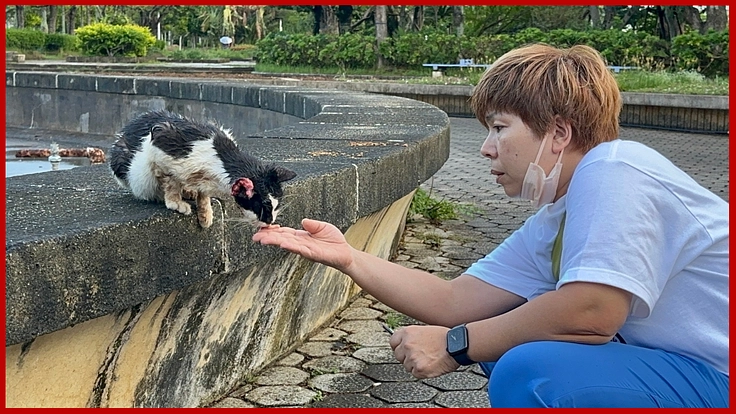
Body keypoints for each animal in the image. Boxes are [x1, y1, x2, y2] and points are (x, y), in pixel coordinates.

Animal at [108, 110, 296, 228]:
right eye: (263, 206)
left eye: (277, 205)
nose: (270, 221)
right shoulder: (161, 142)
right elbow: (171, 180)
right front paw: (175, 201)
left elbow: (203, 193)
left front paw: (205, 214)